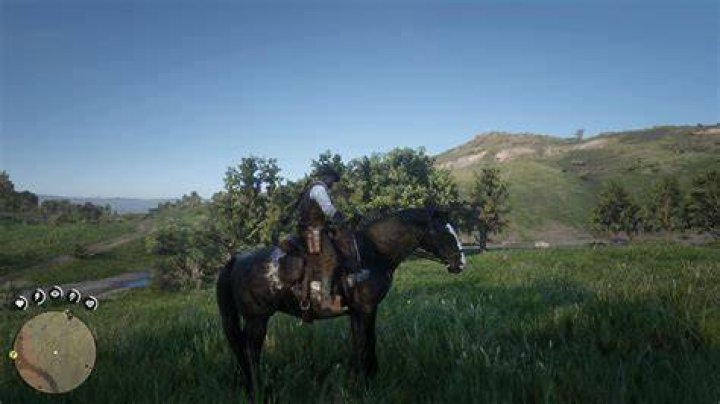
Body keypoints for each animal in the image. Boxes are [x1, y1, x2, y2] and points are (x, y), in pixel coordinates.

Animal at [216, 207, 466, 397]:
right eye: (444, 232)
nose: (461, 263)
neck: (372, 253)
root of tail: (237, 259)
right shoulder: (365, 310)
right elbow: (364, 346)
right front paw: (365, 385)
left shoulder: (360, 312)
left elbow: (363, 345)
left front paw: (362, 381)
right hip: (257, 319)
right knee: (250, 352)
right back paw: (258, 391)